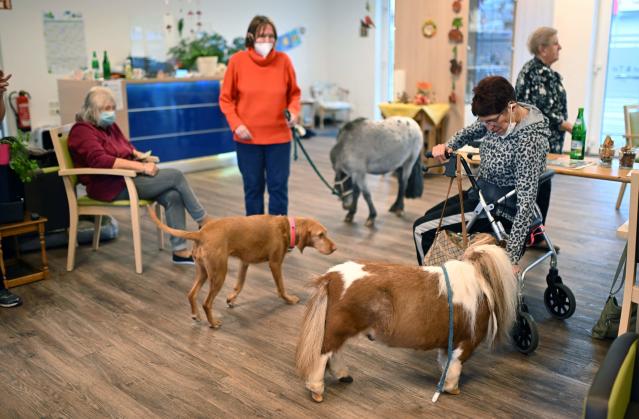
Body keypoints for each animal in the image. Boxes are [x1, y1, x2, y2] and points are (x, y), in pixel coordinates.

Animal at [148, 210, 338, 328]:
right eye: (321, 235)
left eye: (325, 233)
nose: (335, 248)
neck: (286, 227)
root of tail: (201, 233)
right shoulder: (275, 263)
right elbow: (280, 287)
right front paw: (289, 299)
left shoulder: (244, 262)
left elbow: (239, 284)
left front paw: (231, 298)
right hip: (219, 274)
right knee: (206, 302)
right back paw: (213, 323)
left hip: (203, 272)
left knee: (191, 294)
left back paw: (196, 315)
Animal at [298, 243, 516, 404]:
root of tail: (332, 276)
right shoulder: (465, 342)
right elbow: (454, 366)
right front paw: (452, 389)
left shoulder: (450, 342)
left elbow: (445, 361)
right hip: (338, 328)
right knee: (323, 354)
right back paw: (317, 390)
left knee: (334, 354)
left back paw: (343, 376)